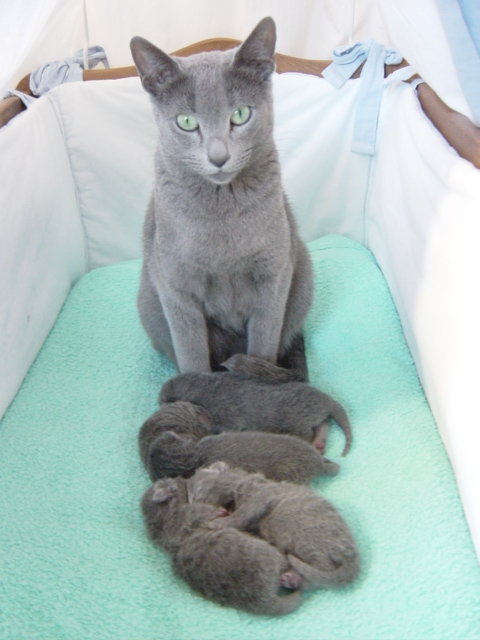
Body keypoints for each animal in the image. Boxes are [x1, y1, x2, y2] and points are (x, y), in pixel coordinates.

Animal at [130, 17, 313, 380]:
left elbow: (264, 341)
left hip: (303, 276)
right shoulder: (175, 286)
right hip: (149, 300)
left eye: (241, 114)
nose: (218, 157)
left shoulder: (274, 274)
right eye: (186, 121)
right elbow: (191, 354)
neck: (221, 207)